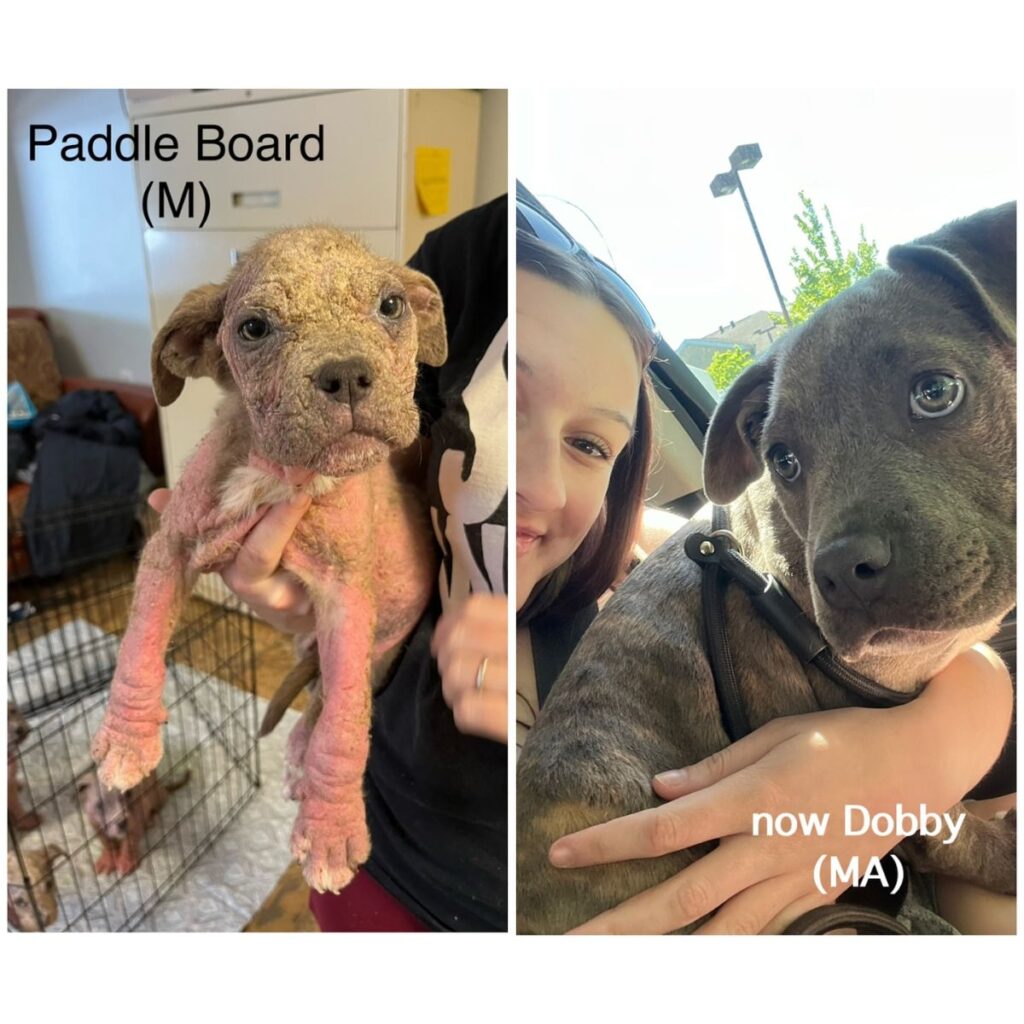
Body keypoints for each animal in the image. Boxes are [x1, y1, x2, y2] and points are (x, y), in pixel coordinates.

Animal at [94, 228, 446, 892]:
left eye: (391, 306)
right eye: (254, 328)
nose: (346, 374)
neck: (280, 470)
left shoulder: (345, 602)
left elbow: (344, 730)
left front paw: (331, 832)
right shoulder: (170, 544)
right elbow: (141, 636)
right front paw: (127, 738)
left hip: (376, 654)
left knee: (331, 709)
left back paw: (304, 769)